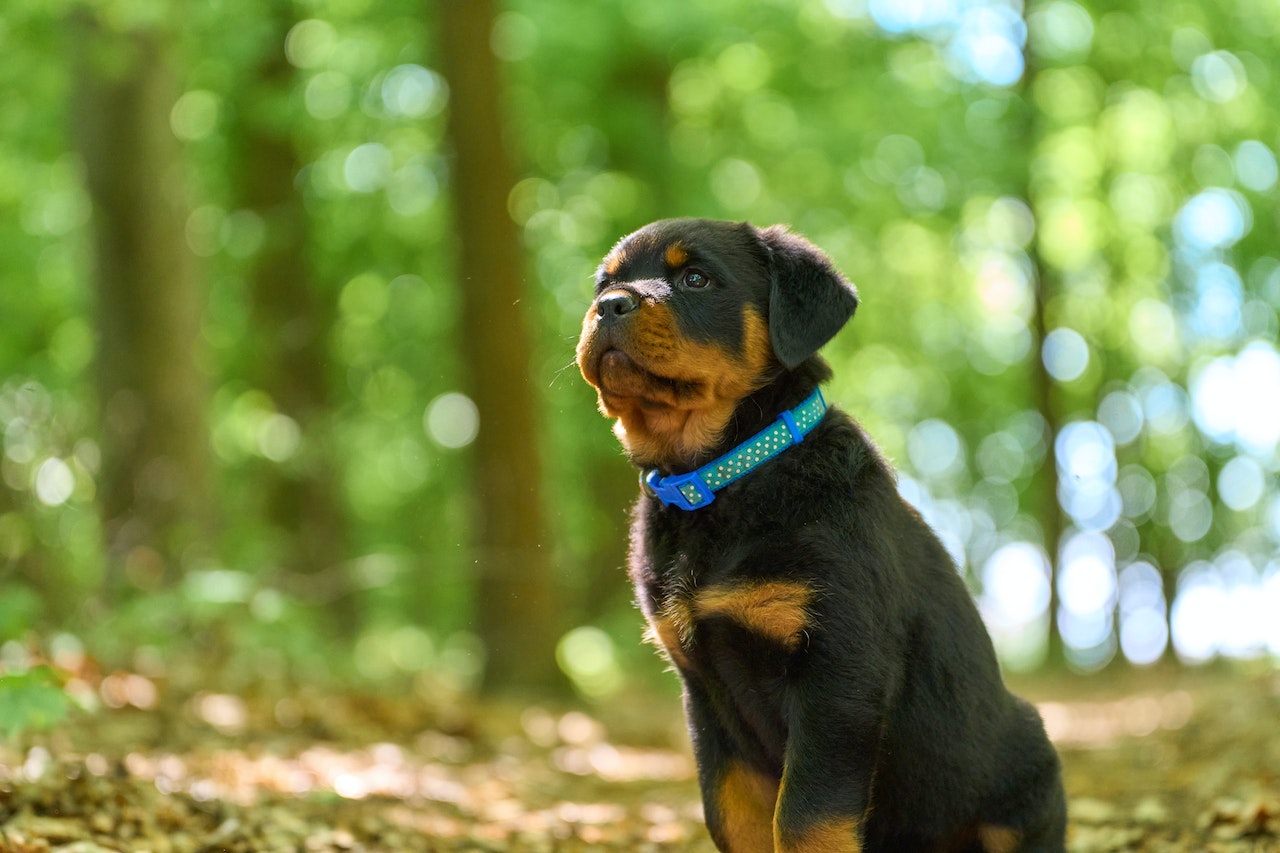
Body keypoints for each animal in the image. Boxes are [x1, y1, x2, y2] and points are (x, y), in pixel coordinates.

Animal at [576, 216, 1064, 845]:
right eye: (602, 285)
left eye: (695, 278)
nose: (610, 305)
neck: (720, 481)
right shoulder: (706, 696)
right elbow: (733, 817)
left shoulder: (838, 672)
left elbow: (806, 818)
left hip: (1023, 761)